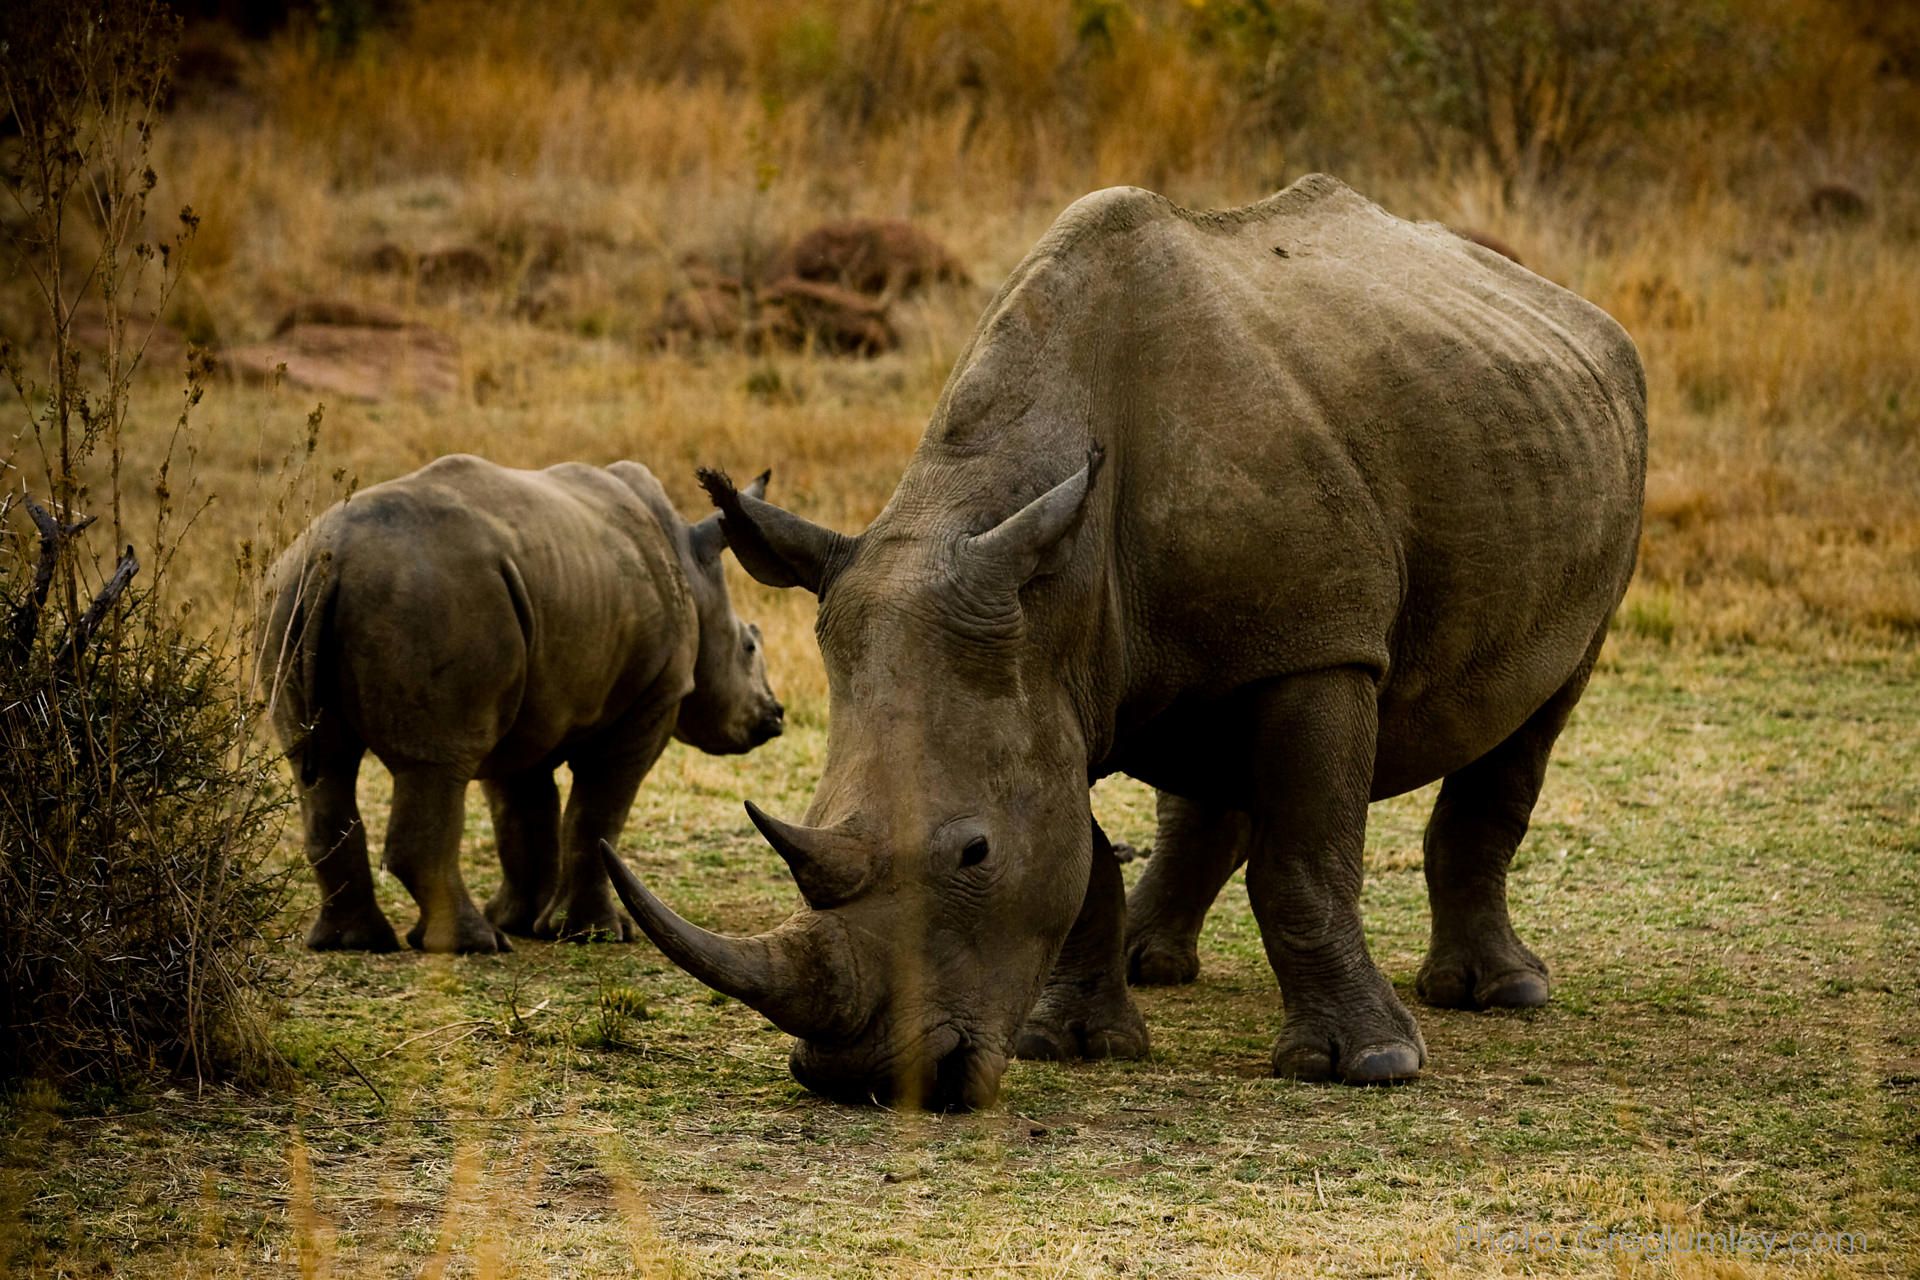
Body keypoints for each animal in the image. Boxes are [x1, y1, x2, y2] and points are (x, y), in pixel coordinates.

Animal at [261, 454, 785, 954]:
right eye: (749, 647)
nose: (775, 717)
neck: (693, 569)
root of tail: (333, 559)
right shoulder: (654, 696)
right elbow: (595, 813)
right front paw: (593, 933)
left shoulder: (530, 702)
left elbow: (523, 812)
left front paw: (523, 920)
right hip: (432, 599)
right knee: (435, 768)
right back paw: (476, 945)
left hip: (289, 594)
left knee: (323, 766)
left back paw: (356, 942)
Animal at [602, 175, 1646, 1108]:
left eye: (973, 854)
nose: (856, 1078)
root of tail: (1570, 305)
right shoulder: (1051, 662)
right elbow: (1085, 852)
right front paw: (1072, 1043)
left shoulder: (1321, 645)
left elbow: (1304, 860)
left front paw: (1369, 1067)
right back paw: (1155, 966)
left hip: (1597, 457)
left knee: (1538, 713)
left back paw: (1502, 994)